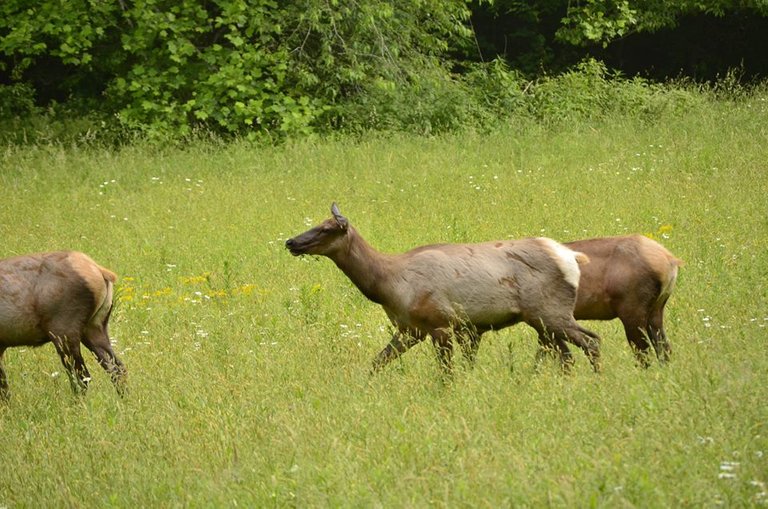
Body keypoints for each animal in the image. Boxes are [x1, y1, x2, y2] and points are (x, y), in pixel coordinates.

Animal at [284, 202, 604, 374]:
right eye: (316, 223)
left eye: (327, 229)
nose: (291, 241)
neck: (388, 286)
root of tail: (572, 257)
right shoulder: (410, 329)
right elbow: (377, 363)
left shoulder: (440, 324)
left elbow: (446, 374)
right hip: (542, 319)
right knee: (568, 353)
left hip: (550, 312)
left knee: (592, 341)